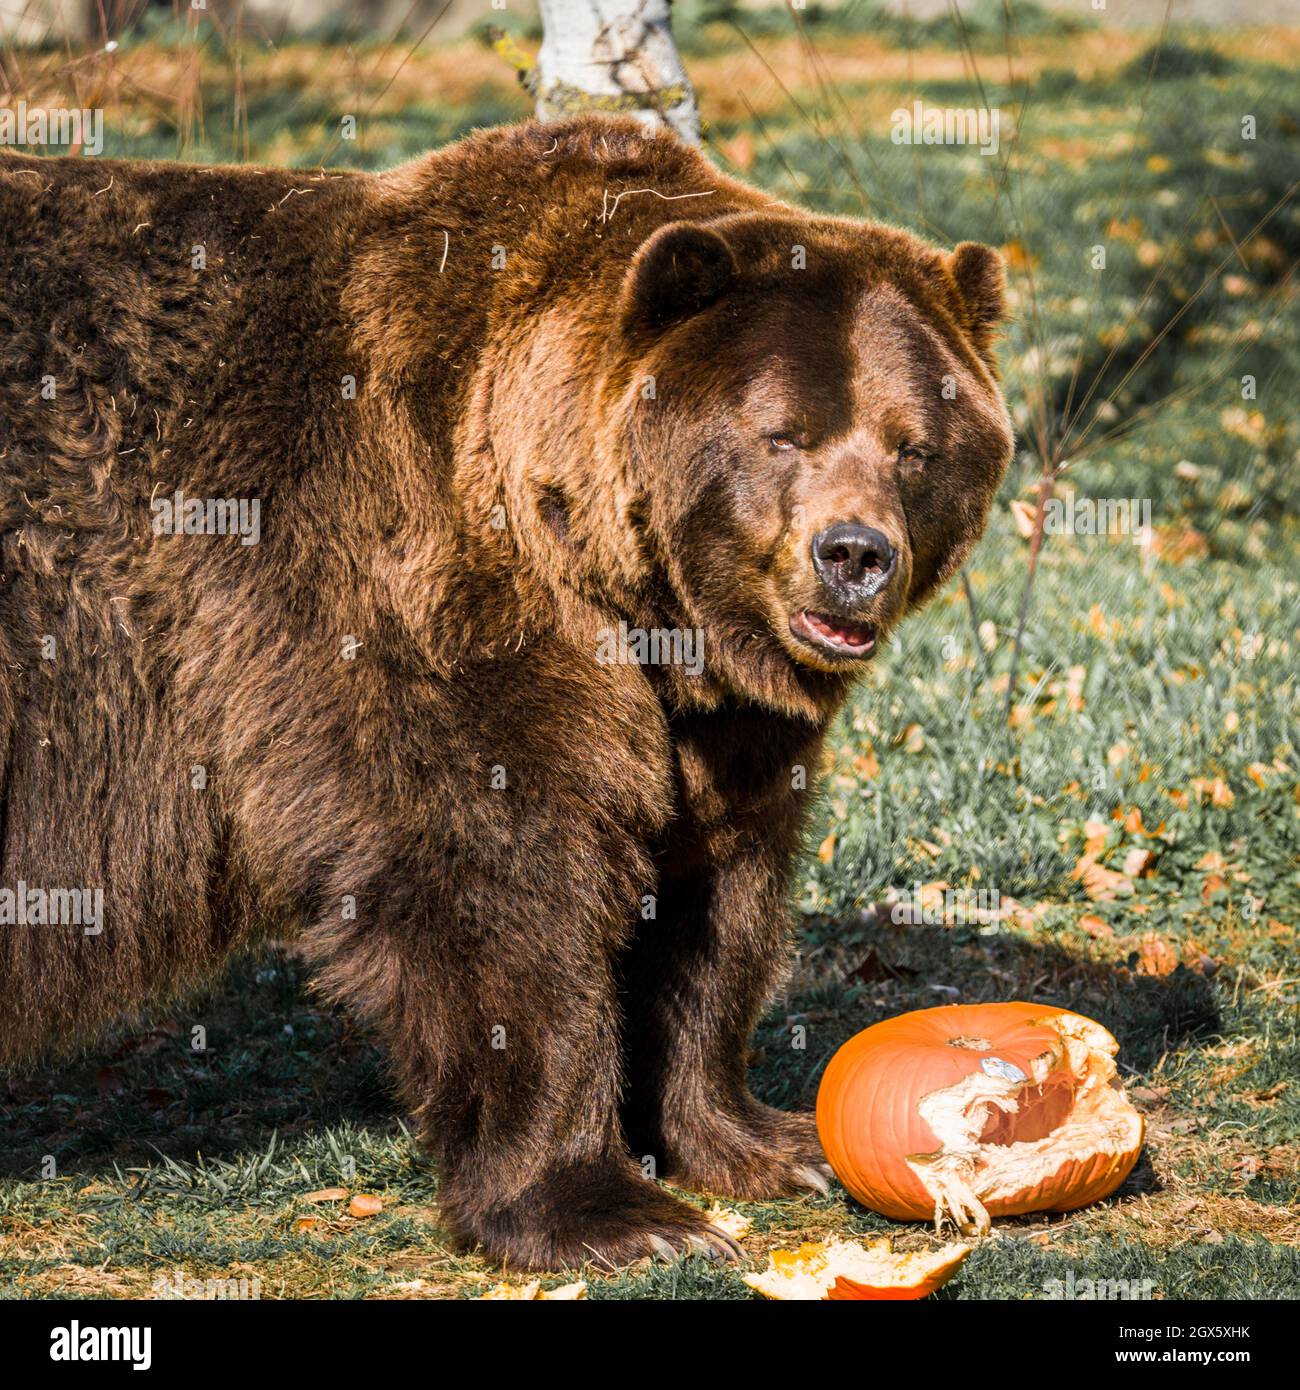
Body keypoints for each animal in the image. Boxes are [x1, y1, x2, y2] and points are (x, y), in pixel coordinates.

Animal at [0, 116, 1017, 1273]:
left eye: (914, 445)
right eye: (782, 432)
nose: (852, 556)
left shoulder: (709, 722)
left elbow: (715, 900)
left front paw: (758, 1138)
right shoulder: (414, 588)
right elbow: (502, 880)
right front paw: (609, 1210)